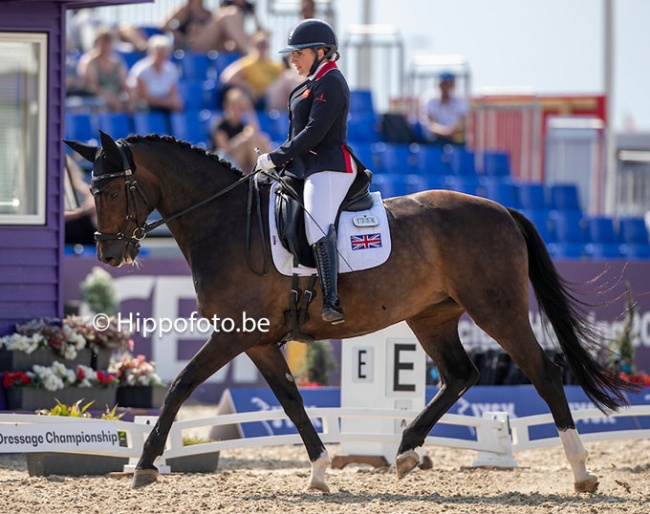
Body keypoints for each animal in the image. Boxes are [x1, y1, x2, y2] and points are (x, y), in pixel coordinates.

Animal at [64, 132, 632, 492]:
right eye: (90, 189)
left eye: (109, 189)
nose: (109, 255)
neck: (223, 222)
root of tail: (502, 210)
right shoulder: (259, 340)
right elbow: (292, 401)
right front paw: (318, 472)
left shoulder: (233, 334)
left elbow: (180, 385)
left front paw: (144, 465)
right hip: (432, 316)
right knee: (460, 374)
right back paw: (405, 451)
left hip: (497, 309)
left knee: (543, 372)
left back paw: (582, 473)